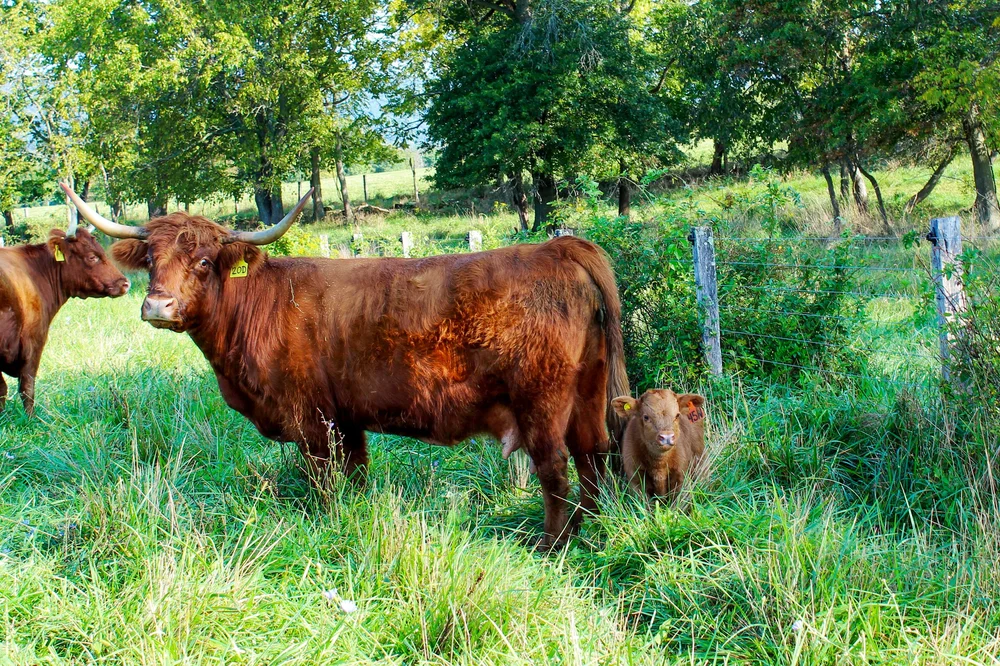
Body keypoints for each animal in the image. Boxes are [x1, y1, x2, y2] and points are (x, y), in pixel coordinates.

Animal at [62, 184, 630, 548]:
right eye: (151, 260)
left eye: (203, 262)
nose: (157, 306)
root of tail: (559, 247)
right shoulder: (348, 418)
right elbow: (355, 474)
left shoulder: (311, 418)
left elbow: (324, 482)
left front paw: (327, 522)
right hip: (588, 393)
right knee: (594, 457)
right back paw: (595, 530)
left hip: (541, 402)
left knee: (556, 468)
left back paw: (553, 544)